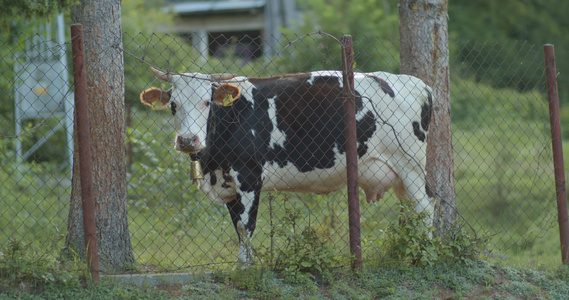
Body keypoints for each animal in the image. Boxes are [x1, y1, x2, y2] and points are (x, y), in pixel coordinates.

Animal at [140, 68, 432, 264]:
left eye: (207, 102)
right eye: (173, 105)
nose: (188, 140)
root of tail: (416, 84)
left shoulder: (249, 177)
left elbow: (246, 226)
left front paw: (245, 267)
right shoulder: (230, 186)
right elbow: (237, 228)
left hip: (412, 167)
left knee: (425, 207)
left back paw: (425, 254)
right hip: (401, 175)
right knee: (412, 212)